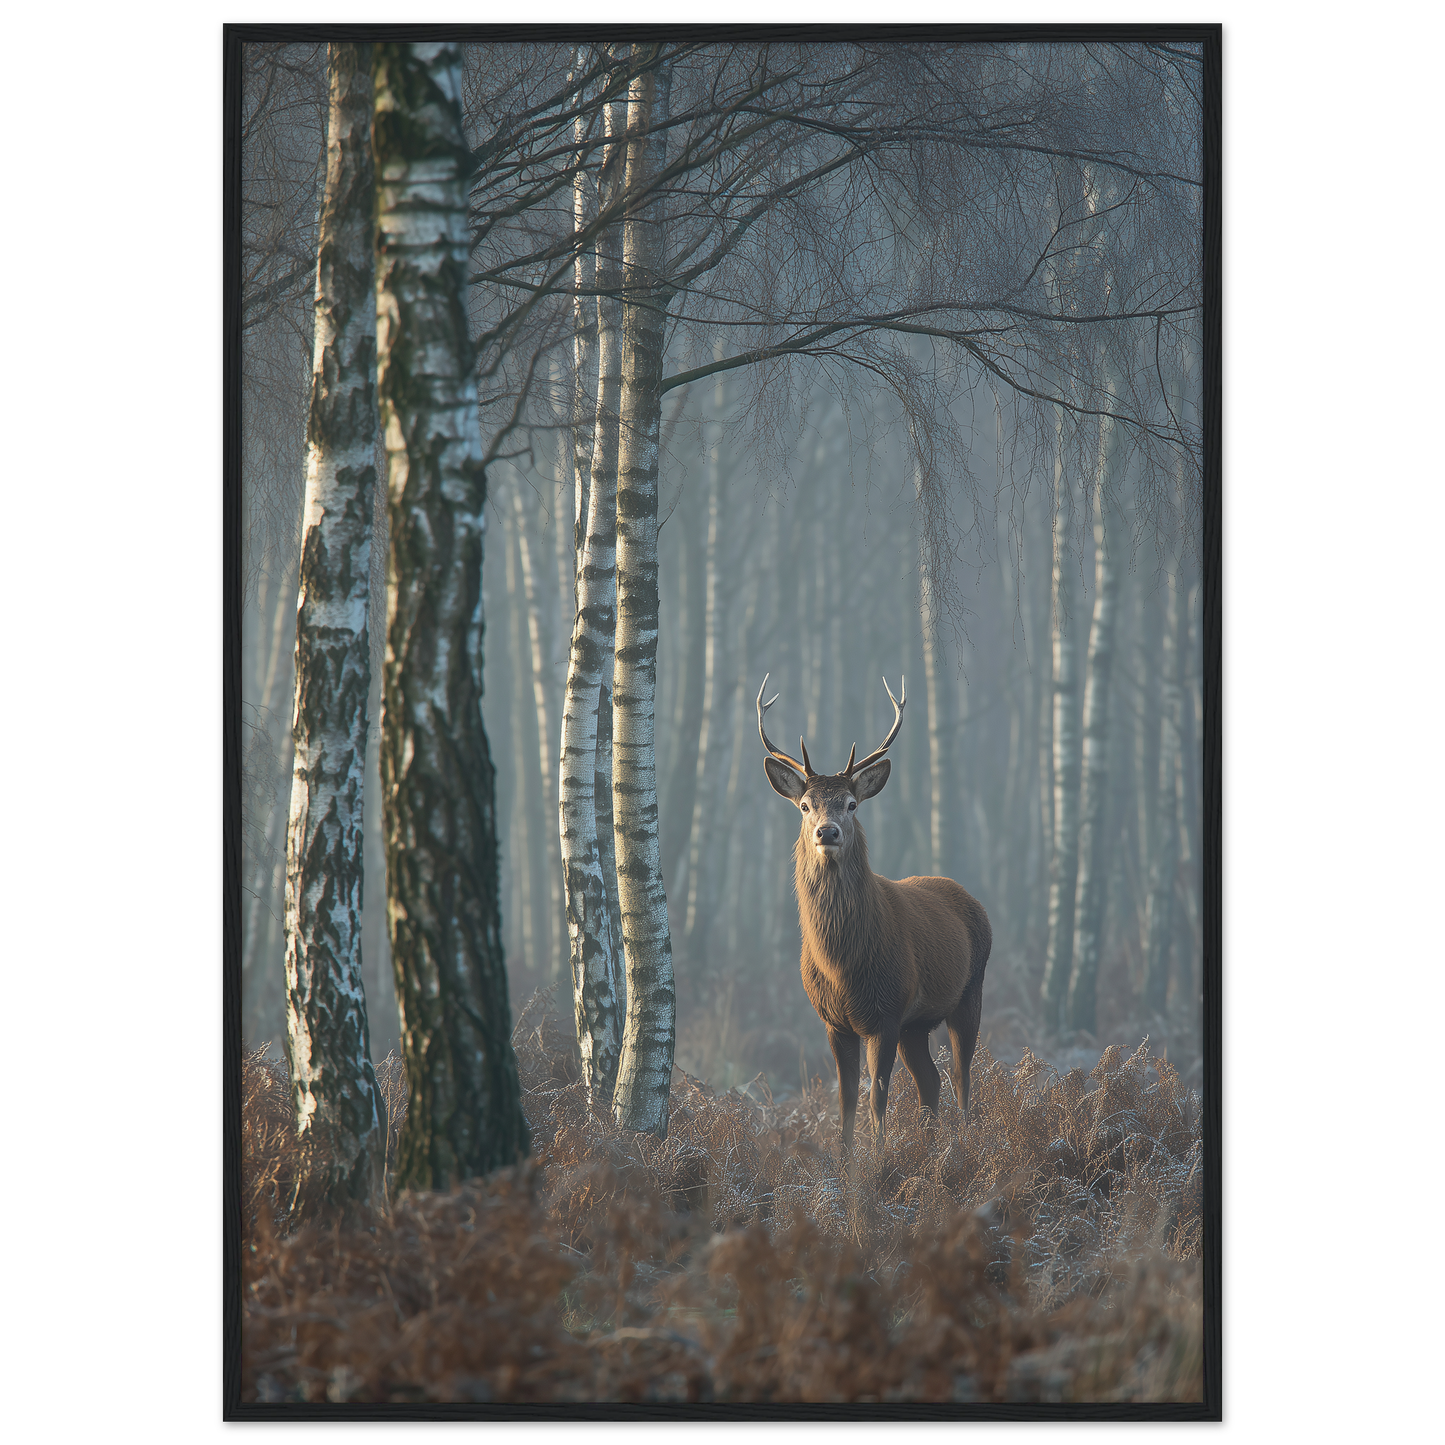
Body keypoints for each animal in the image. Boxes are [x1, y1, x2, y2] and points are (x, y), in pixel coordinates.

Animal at [758, 674, 991, 1165]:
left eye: (851, 803)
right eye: (805, 805)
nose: (827, 832)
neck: (843, 967)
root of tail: (972, 900)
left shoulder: (885, 1012)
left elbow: (876, 1096)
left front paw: (879, 1160)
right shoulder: (835, 1021)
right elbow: (845, 1098)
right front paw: (845, 1164)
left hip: (969, 992)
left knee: (963, 1079)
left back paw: (964, 1145)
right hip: (916, 1024)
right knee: (931, 1082)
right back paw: (930, 1147)